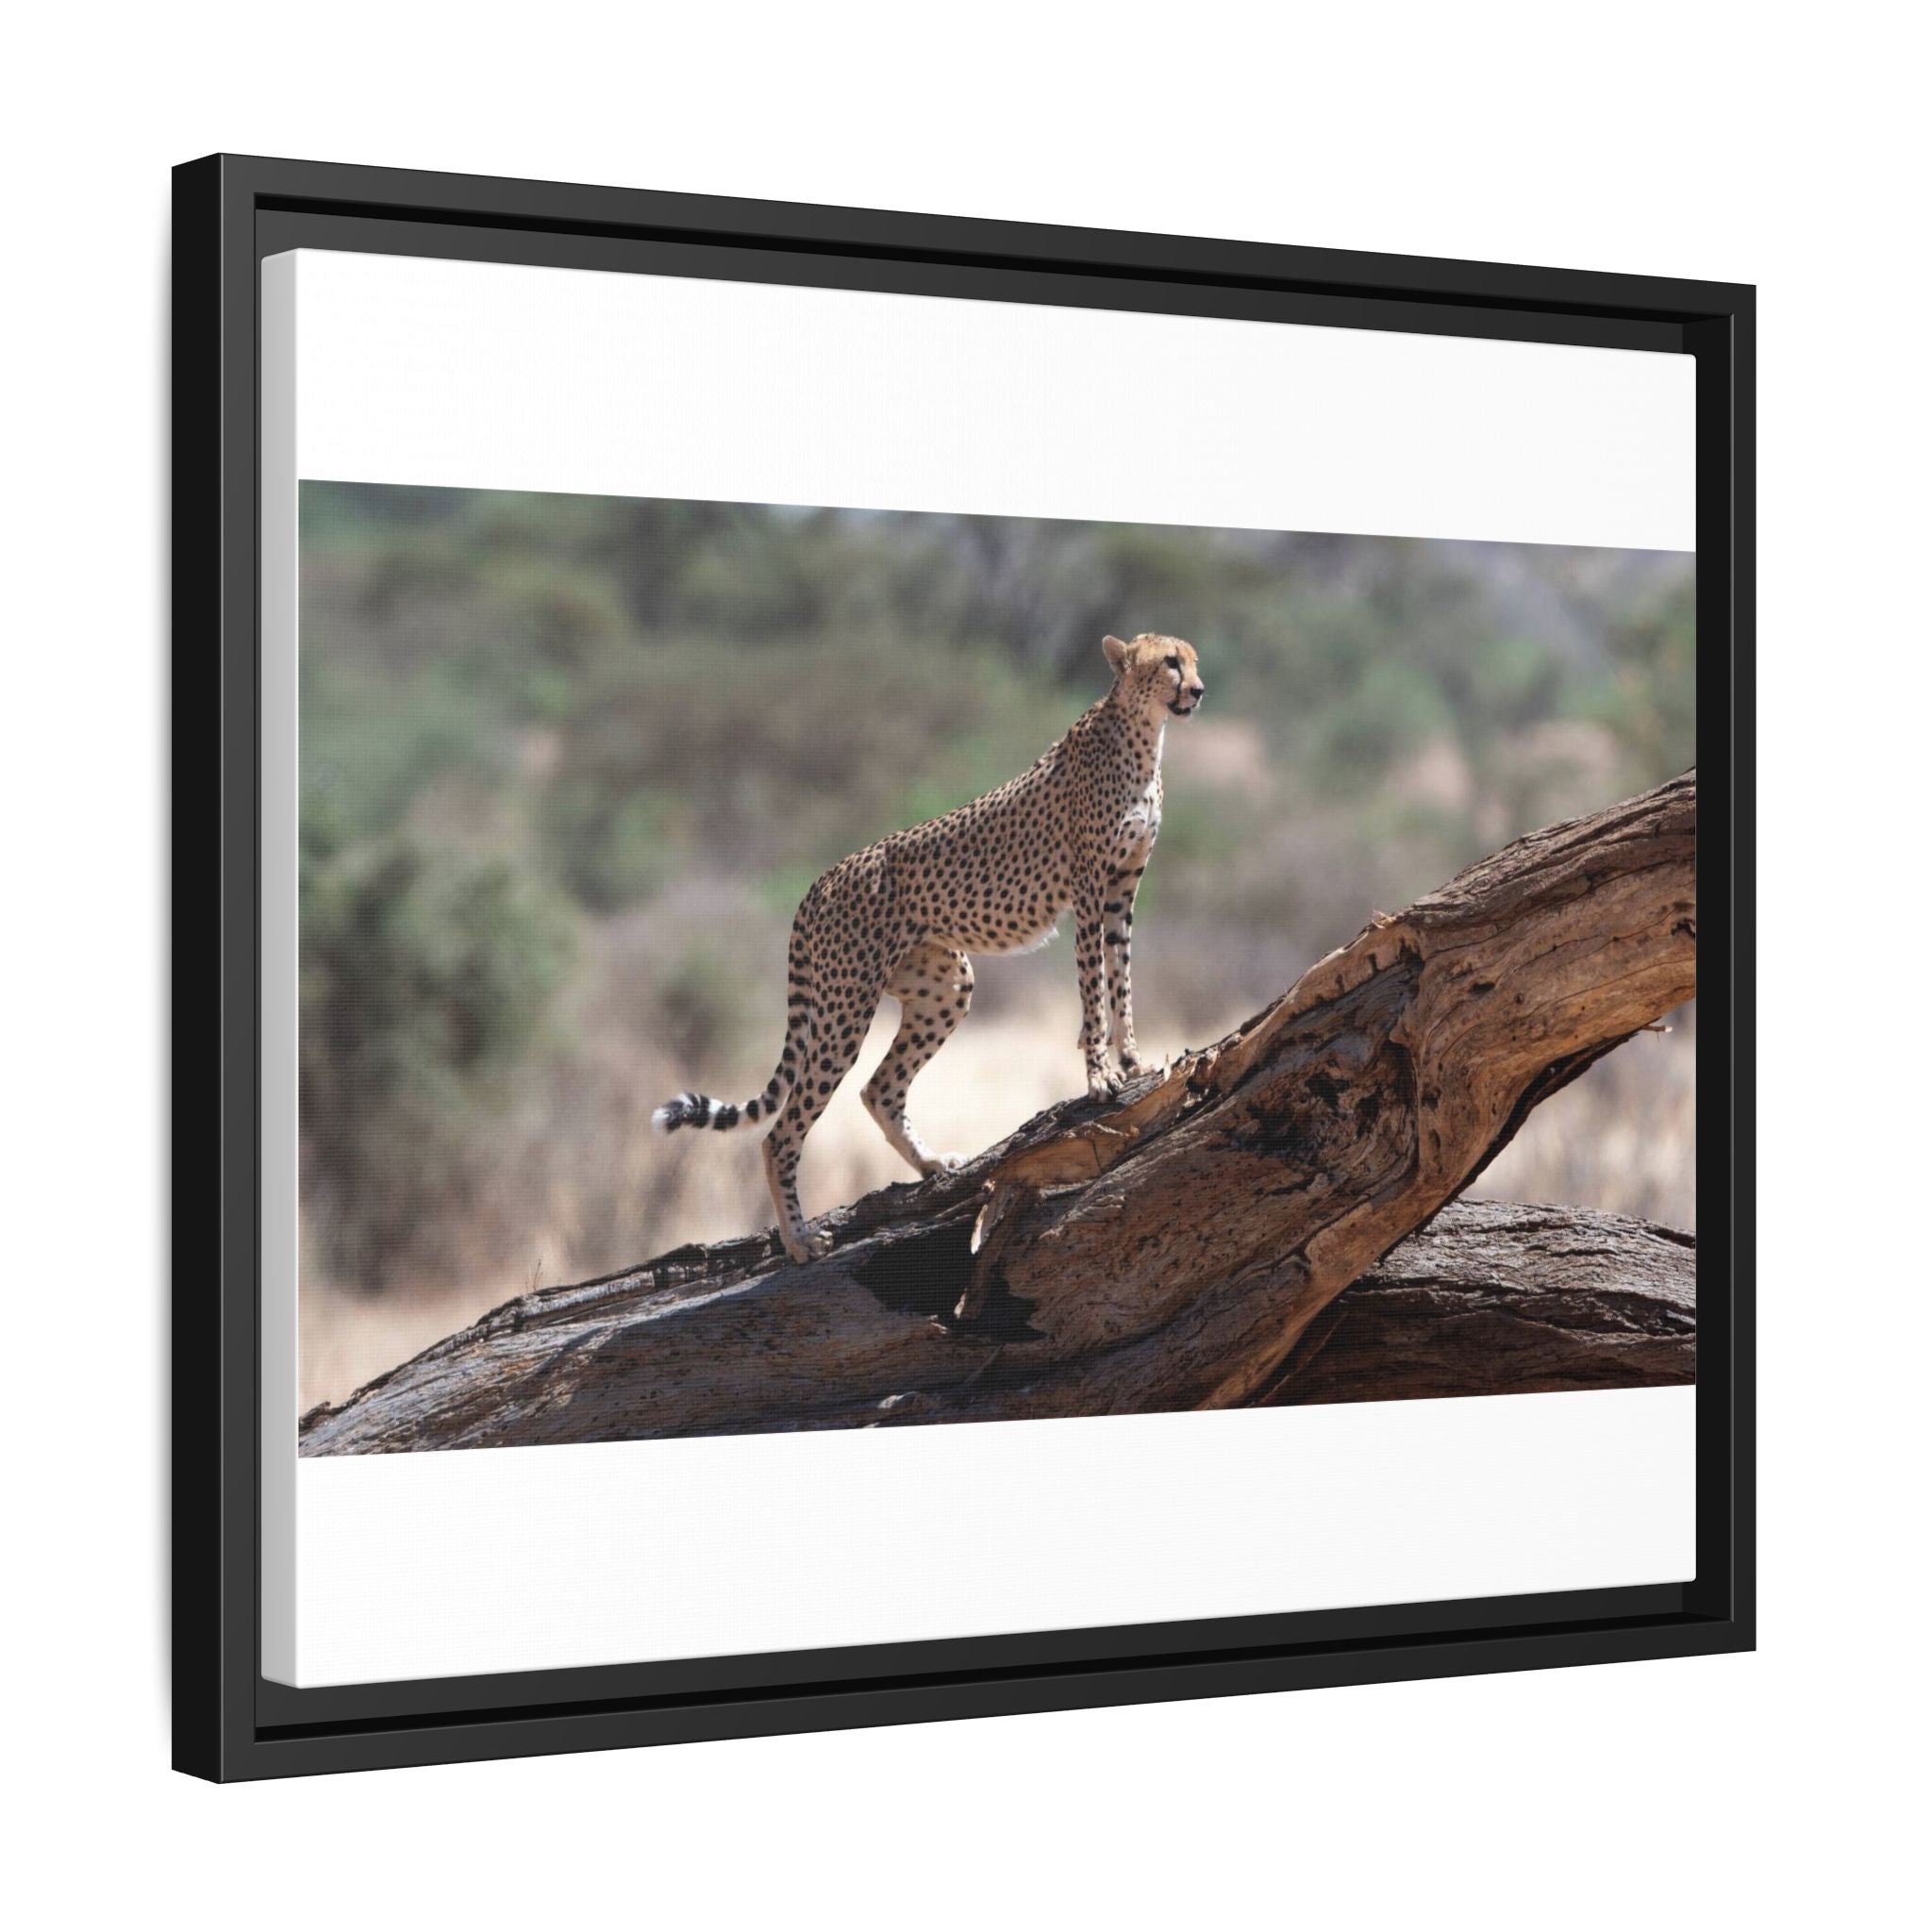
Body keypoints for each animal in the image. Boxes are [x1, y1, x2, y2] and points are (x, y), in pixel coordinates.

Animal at [653, 632, 1207, 1262]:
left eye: (1192, 660)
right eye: (1170, 662)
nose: (1197, 690)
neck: (1143, 734)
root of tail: (822, 879)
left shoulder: (1121, 891)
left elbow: (1121, 979)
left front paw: (1134, 1059)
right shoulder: (1089, 890)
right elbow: (1093, 987)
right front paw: (1099, 1076)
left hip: (945, 986)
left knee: (879, 1089)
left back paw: (932, 1165)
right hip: (845, 1007)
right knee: (783, 1130)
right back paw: (799, 1240)